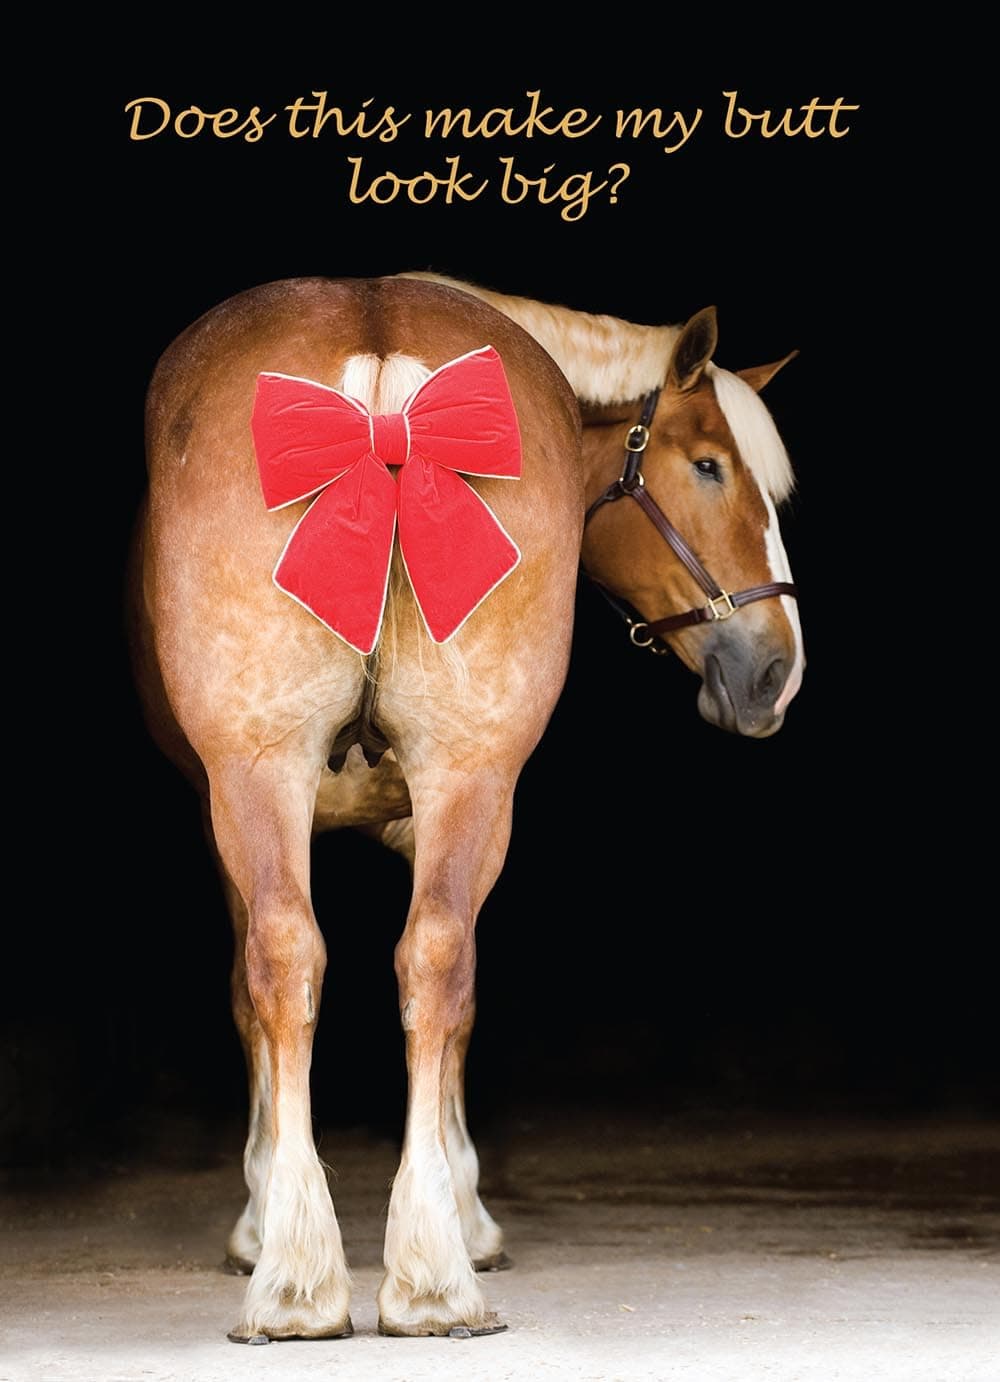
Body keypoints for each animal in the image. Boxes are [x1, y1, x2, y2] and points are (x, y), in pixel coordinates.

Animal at [130, 273, 803, 1343]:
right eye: (706, 467)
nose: (777, 671)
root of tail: (382, 380)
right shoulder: (223, 805)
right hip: (346, 775)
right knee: (352, 964)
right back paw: (355, 1273)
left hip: (319, 769)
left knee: (350, 958)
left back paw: (351, 1280)